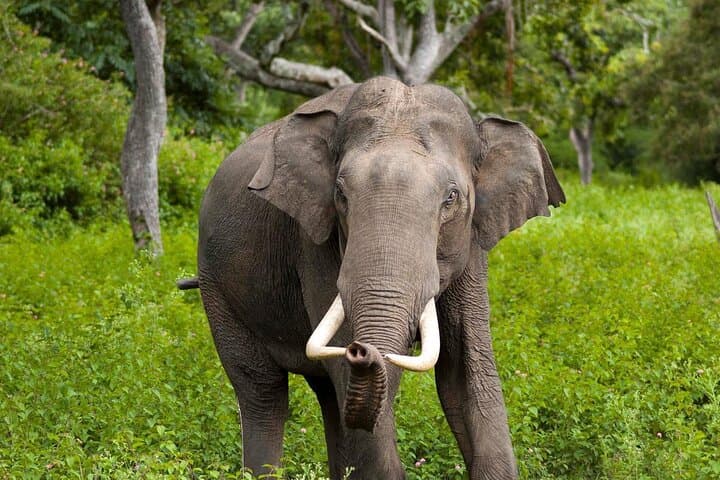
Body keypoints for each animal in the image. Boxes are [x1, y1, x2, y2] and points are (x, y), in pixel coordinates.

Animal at [181, 76, 565, 479]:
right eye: (340, 194)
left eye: (451, 198)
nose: (361, 350)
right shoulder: (313, 241)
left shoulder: (473, 244)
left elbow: (465, 372)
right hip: (216, 287)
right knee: (263, 391)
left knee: (327, 396)